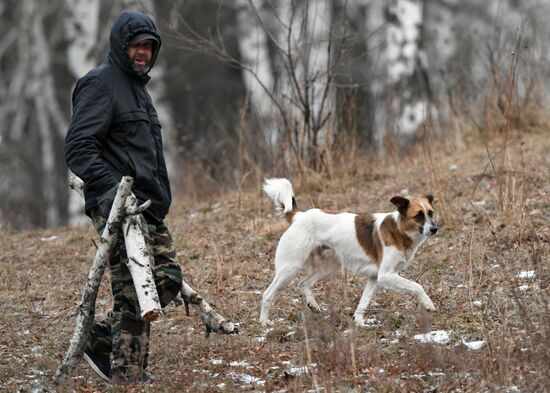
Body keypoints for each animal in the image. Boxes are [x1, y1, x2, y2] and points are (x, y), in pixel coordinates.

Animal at [260, 178, 442, 324]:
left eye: (430, 213)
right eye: (419, 215)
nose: (435, 229)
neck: (399, 230)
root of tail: (299, 216)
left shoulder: (375, 277)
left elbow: (364, 302)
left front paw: (359, 322)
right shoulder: (385, 275)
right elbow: (417, 286)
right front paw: (428, 304)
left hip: (328, 267)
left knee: (303, 283)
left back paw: (314, 306)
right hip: (289, 268)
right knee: (267, 294)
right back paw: (264, 323)